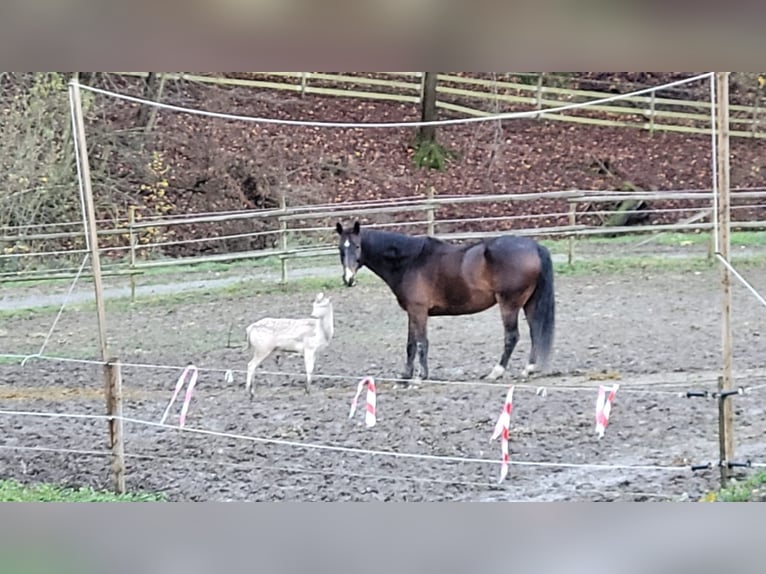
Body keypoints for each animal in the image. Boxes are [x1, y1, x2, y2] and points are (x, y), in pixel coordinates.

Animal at [335, 221, 555, 382]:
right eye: (340, 249)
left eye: (357, 246)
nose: (348, 279)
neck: (409, 261)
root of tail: (534, 246)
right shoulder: (412, 312)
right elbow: (410, 344)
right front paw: (406, 376)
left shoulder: (419, 311)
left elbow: (422, 342)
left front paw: (421, 377)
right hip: (529, 303)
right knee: (535, 331)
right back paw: (529, 369)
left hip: (509, 304)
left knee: (512, 337)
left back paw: (496, 372)